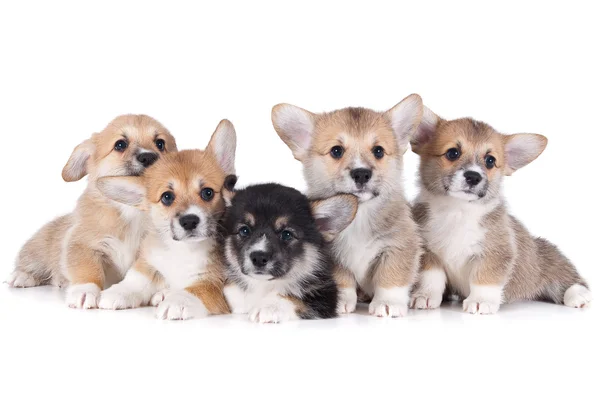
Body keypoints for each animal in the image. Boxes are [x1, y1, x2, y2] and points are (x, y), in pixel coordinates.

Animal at [7, 113, 176, 310]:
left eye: (160, 143)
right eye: (120, 144)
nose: (148, 157)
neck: (131, 210)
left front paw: (164, 294)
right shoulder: (82, 244)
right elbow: (88, 269)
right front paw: (84, 291)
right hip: (38, 249)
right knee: (30, 263)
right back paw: (23, 276)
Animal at [95, 119, 236, 320]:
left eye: (207, 193)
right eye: (167, 197)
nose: (189, 221)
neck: (183, 250)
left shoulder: (216, 283)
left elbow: (198, 289)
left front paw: (177, 302)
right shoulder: (150, 262)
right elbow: (137, 278)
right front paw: (118, 291)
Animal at [223, 183, 358, 324]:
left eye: (287, 234)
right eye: (244, 230)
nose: (259, 258)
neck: (265, 285)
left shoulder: (324, 296)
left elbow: (293, 298)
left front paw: (268, 307)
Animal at [272, 93, 422, 318]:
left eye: (378, 151)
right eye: (336, 151)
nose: (361, 173)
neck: (360, 215)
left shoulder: (399, 245)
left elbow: (391, 276)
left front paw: (388, 303)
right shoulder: (332, 256)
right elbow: (342, 279)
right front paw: (342, 300)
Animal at [410, 109, 592, 314]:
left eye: (490, 161)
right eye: (452, 153)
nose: (473, 176)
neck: (458, 210)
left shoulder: (495, 253)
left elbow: (484, 278)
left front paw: (480, 301)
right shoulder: (429, 253)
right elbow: (431, 278)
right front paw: (424, 296)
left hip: (550, 262)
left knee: (567, 277)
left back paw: (578, 295)